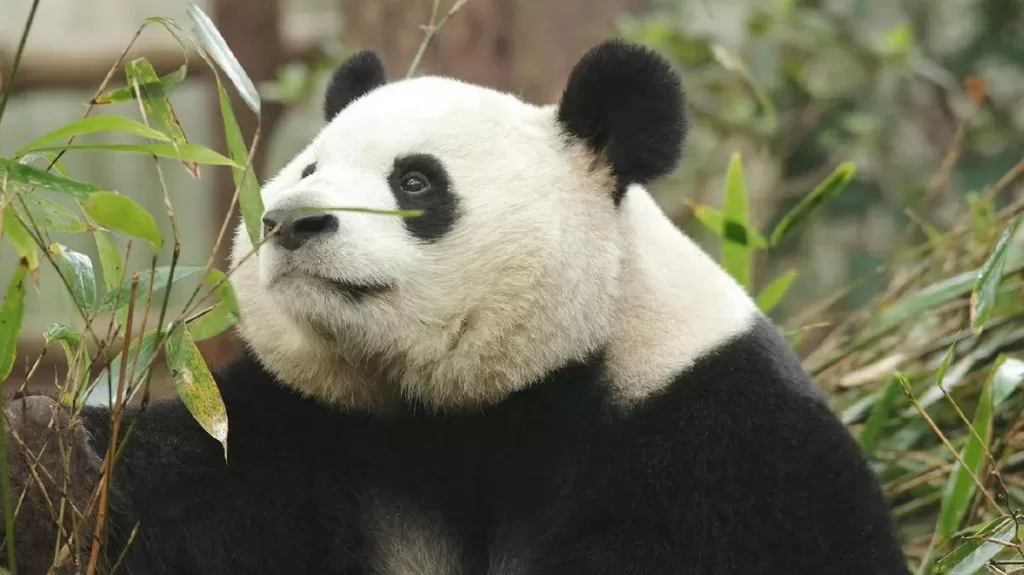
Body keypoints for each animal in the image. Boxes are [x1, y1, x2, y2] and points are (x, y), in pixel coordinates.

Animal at [0, 40, 910, 574]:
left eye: (415, 181)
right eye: (308, 168)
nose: (290, 222)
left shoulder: (710, 436)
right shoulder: (296, 437)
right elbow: (150, 511)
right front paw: (38, 448)